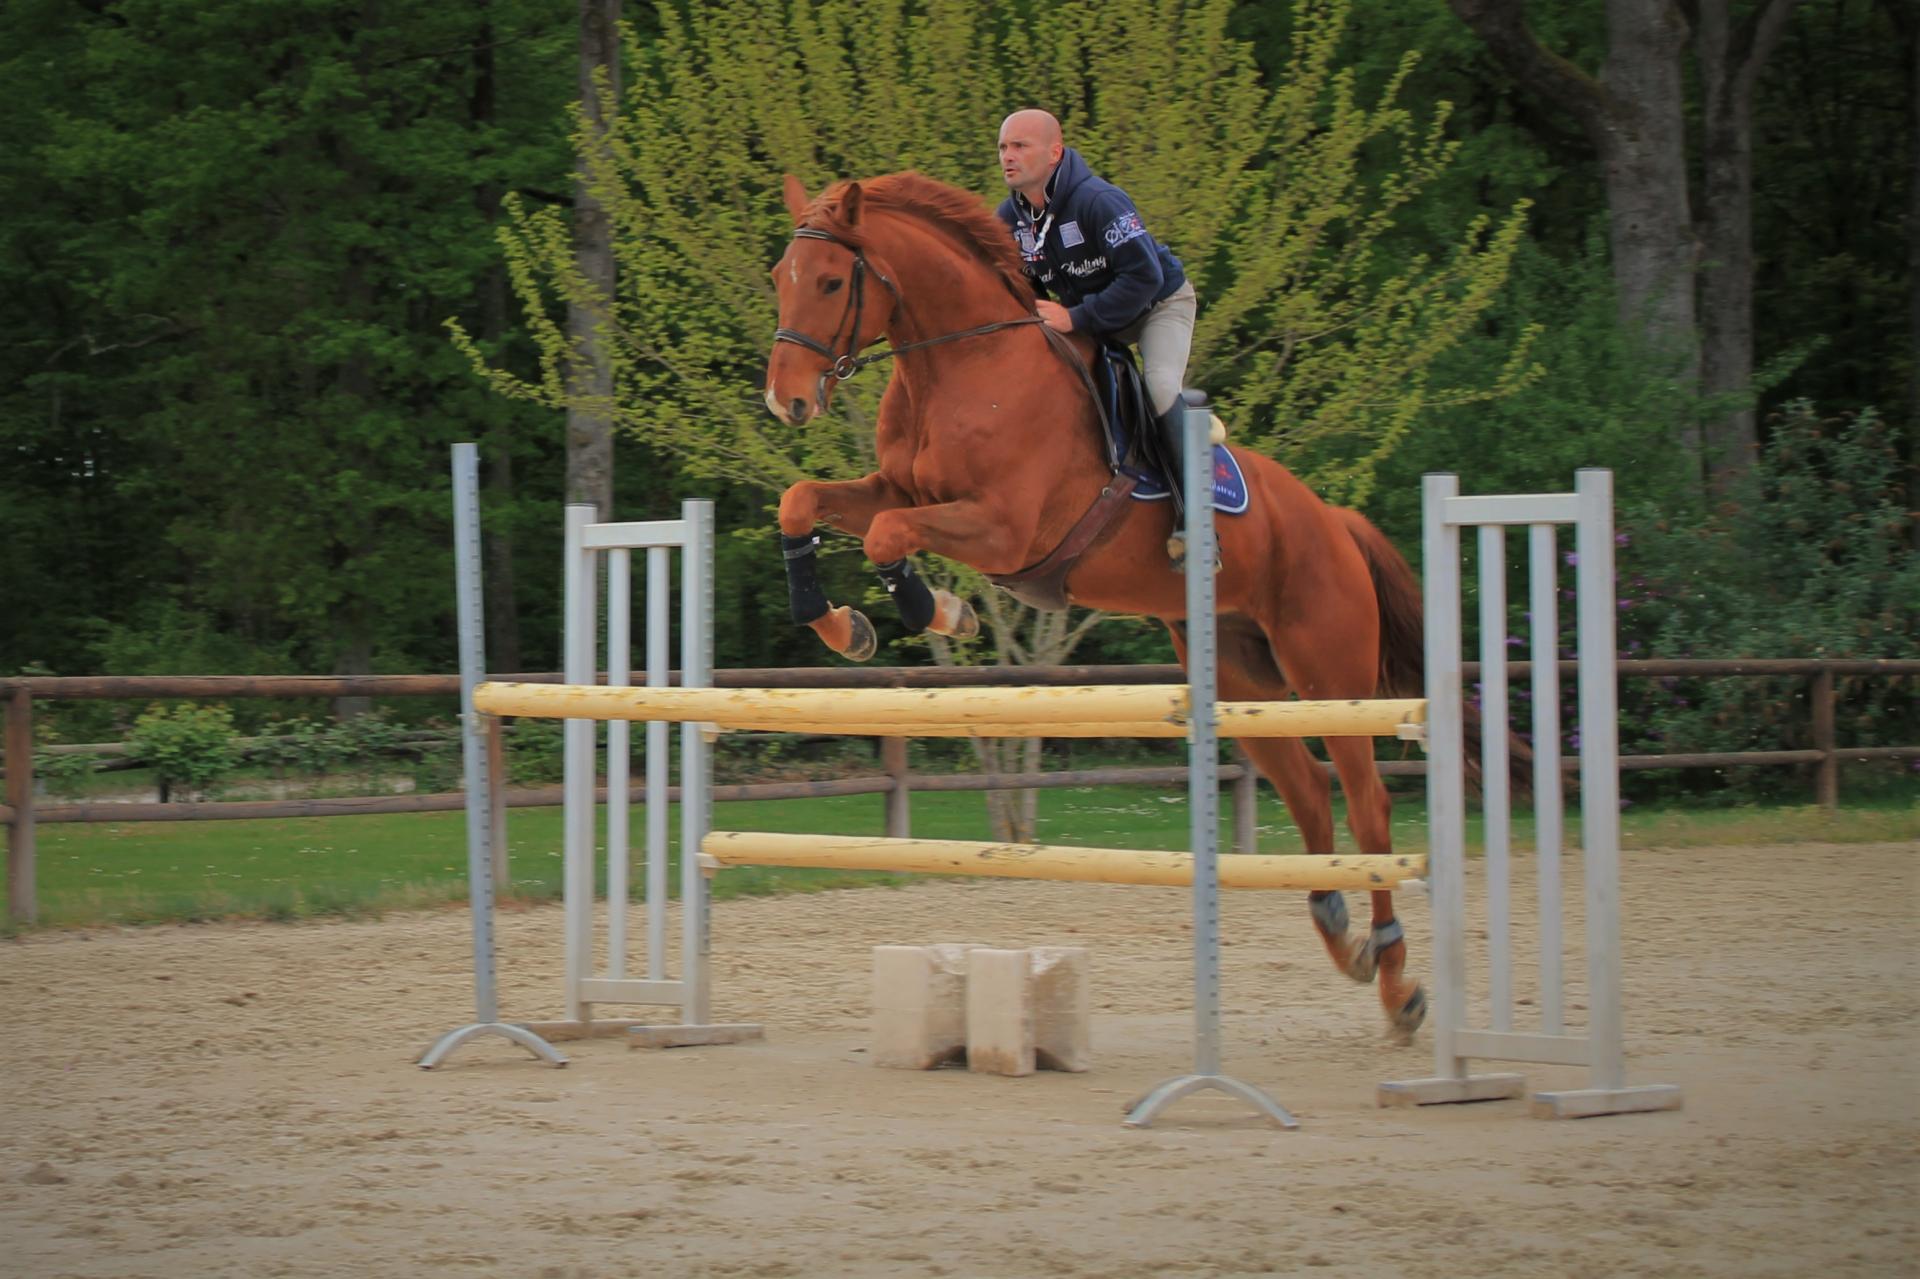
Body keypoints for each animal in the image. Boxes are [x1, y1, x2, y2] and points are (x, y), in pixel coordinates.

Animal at [764, 168, 1428, 1029]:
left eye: (831, 282)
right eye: (778, 278)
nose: (785, 401)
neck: (963, 364)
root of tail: (1334, 519)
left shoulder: (1004, 530)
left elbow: (884, 536)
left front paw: (940, 611)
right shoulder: (894, 489)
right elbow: (803, 502)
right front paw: (844, 628)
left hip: (1327, 672)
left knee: (1368, 800)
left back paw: (1398, 981)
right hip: (1240, 676)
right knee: (1311, 791)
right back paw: (1341, 933)